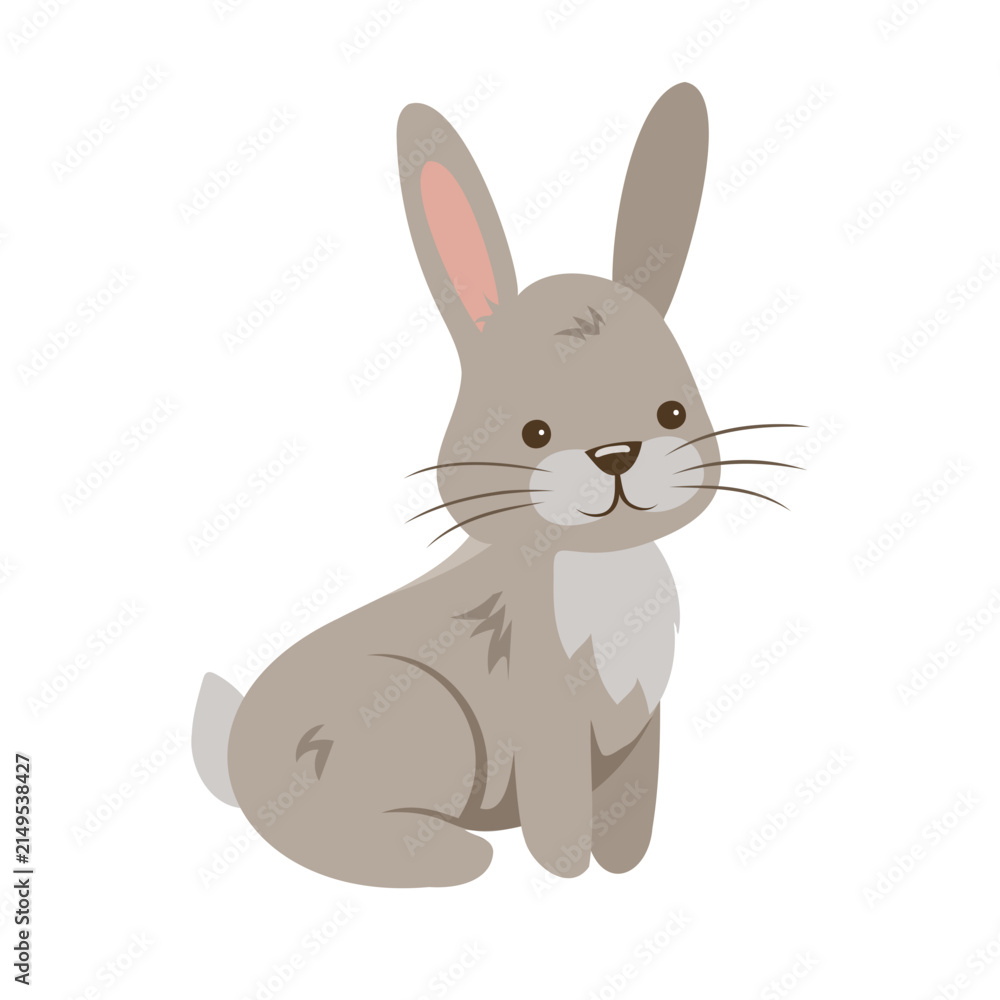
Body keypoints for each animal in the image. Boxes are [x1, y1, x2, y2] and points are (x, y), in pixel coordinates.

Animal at [193, 83, 798, 887]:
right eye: (531, 433)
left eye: (674, 412)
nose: (615, 454)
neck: (597, 567)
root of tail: (238, 765)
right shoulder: (547, 723)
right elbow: (559, 810)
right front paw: (568, 873)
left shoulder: (642, 728)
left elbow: (633, 805)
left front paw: (625, 869)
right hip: (421, 713)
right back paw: (454, 857)